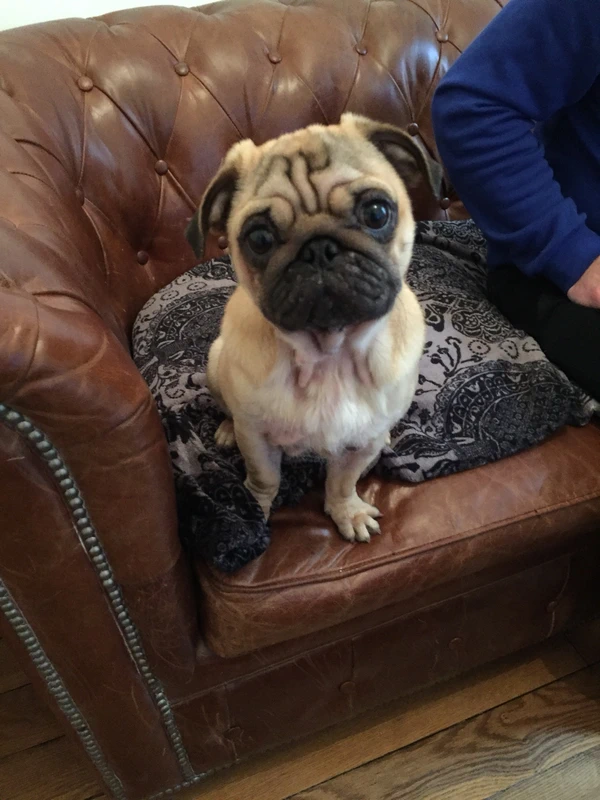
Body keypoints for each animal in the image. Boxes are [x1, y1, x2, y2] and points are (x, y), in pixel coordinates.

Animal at [185, 113, 441, 543]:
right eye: (259, 238)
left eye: (376, 213)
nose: (318, 247)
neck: (329, 355)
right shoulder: (257, 438)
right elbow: (265, 478)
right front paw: (254, 509)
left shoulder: (359, 446)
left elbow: (342, 481)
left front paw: (346, 511)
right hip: (216, 362)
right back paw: (225, 429)